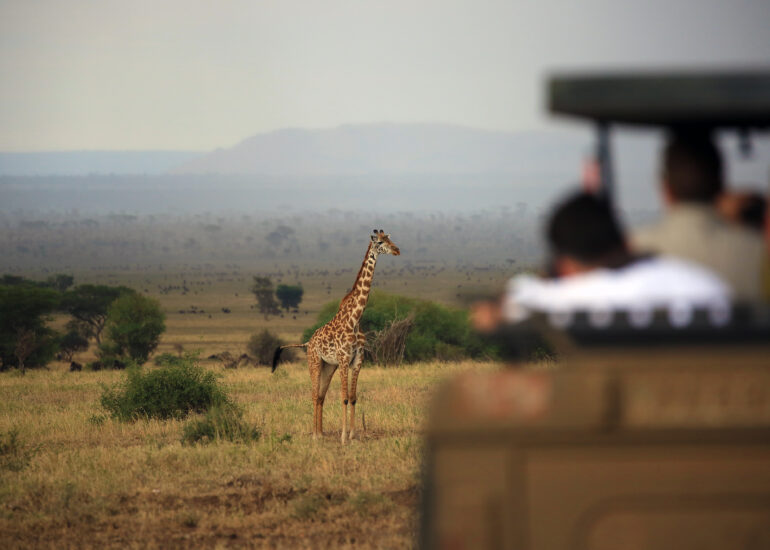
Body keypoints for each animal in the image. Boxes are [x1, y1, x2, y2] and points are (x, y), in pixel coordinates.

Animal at [272, 229, 400, 443]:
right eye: (380, 242)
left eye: (390, 238)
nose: (397, 250)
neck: (355, 319)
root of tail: (307, 342)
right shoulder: (343, 359)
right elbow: (344, 397)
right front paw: (343, 437)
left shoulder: (357, 360)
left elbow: (354, 397)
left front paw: (353, 435)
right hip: (315, 362)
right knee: (314, 394)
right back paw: (315, 435)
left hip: (328, 366)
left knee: (321, 395)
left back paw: (322, 433)